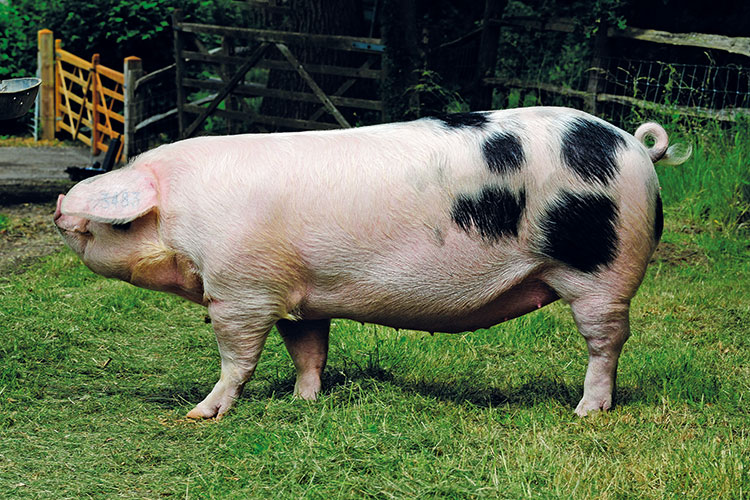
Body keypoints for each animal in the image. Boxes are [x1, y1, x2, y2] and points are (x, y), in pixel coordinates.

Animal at [53, 107, 690, 419]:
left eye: (113, 223)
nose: (59, 207)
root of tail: (633, 146)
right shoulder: (298, 293)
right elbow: (309, 349)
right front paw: (304, 401)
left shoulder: (241, 291)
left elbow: (236, 360)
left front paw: (199, 414)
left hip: (603, 273)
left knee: (607, 342)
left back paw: (585, 412)